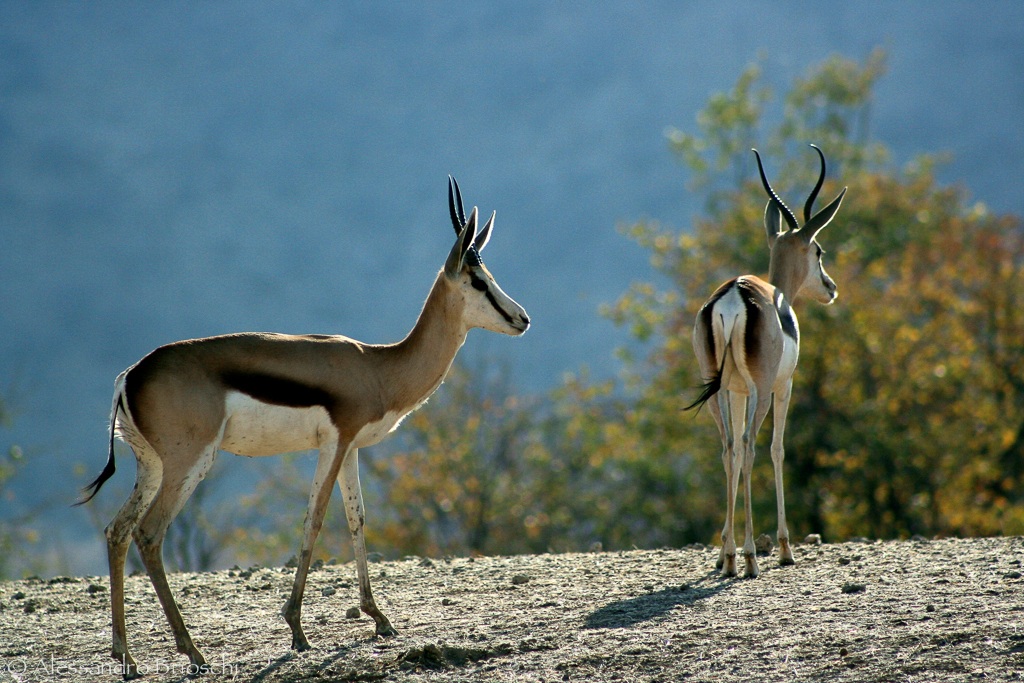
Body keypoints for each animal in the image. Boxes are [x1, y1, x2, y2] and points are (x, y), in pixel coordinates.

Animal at [77, 178, 530, 678]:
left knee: (117, 531)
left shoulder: (350, 449)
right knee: (149, 533)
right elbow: (314, 521)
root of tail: (131, 375)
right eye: (478, 280)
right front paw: (297, 629)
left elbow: (357, 520)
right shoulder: (335, 444)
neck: (378, 367)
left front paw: (379, 618)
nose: (522, 319)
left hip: (152, 467)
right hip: (189, 462)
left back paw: (126, 656)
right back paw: (191, 651)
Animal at [688, 146, 846, 578]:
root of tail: (731, 298)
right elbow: (778, 449)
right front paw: (785, 548)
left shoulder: (737, 391)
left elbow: (735, 450)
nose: (831, 288)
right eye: (819, 250)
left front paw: (722, 553)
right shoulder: (783, 385)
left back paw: (728, 557)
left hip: (718, 390)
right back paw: (750, 558)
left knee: (729, 447)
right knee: (749, 446)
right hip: (760, 389)